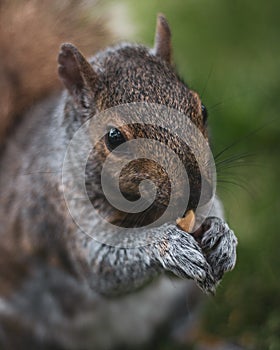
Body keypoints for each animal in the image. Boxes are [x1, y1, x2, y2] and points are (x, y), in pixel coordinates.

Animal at [0, 13, 237, 350]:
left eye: (202, 110)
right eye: (113, 137)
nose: (192, 193)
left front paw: (222, 235)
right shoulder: (58, 210)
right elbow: (103, 267)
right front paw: (166, 245)